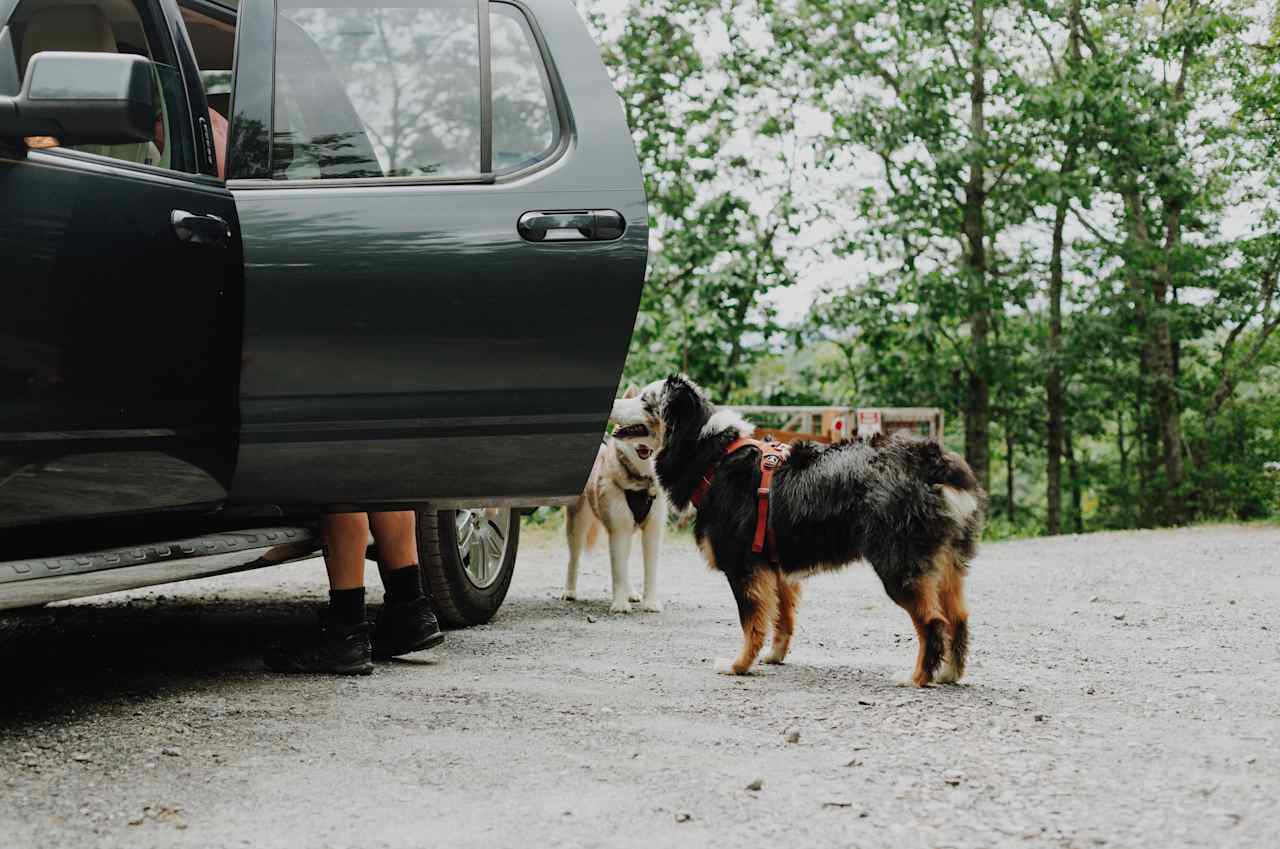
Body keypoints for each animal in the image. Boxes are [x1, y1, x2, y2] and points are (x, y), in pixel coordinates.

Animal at [568, 384, 675, 612]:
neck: (642, 481)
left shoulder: (652, 529)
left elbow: (649, 570)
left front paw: (650, 602)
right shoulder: (618, 527)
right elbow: (618, 570)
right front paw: (619, 603)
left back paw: (631, 592)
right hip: (578, 524)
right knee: (573, 559)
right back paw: (570, 590)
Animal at [611, 376, 988, 686]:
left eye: (645, 399)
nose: (613, 402)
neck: (714, 456)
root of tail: (931, 460)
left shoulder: (744, 567)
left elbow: (751, 624)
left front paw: (739, 665)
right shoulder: (775, 568)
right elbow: (783, 618)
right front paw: (774, 656)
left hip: (898, 566)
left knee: (933, 622)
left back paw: (918, 677)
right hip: (947, 565)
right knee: (959, 617)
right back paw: (950, 674)